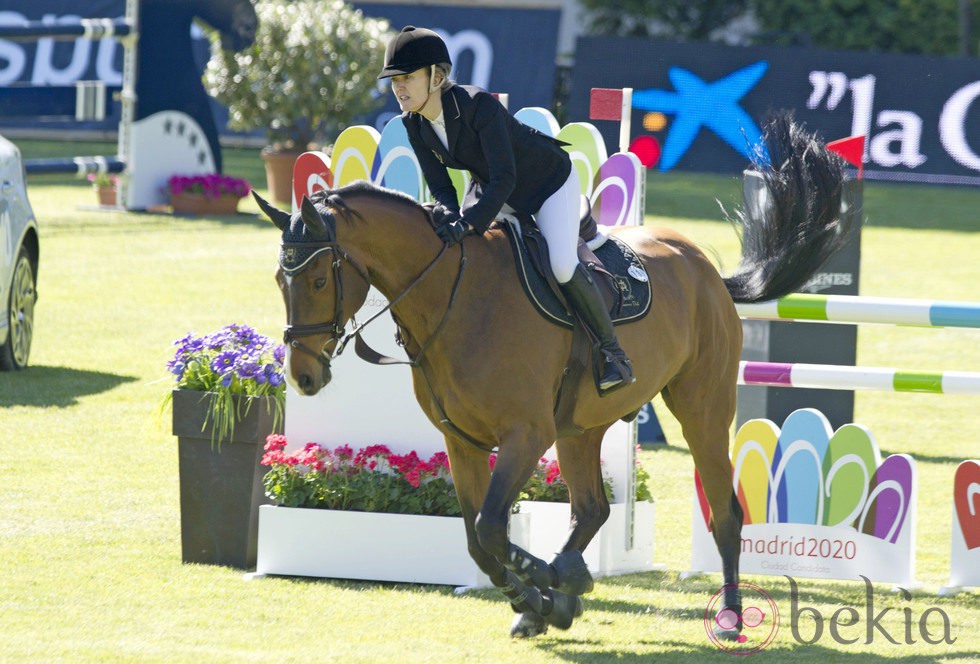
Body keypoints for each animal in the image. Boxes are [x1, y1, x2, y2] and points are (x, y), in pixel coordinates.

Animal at [255, 113, 848, 640]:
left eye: (316, 279)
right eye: (279, 280)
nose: (303, 376)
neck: (455, 296)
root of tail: (701, 264)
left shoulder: (525, 434)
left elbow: (492, 528)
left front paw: (549, 583)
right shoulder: (462, 441)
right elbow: (477, 540)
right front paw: (539, 602)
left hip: (701, 408)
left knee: (723, 512)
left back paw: (727, 616)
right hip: (579, 427)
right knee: (592, 508)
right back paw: (567, 585)